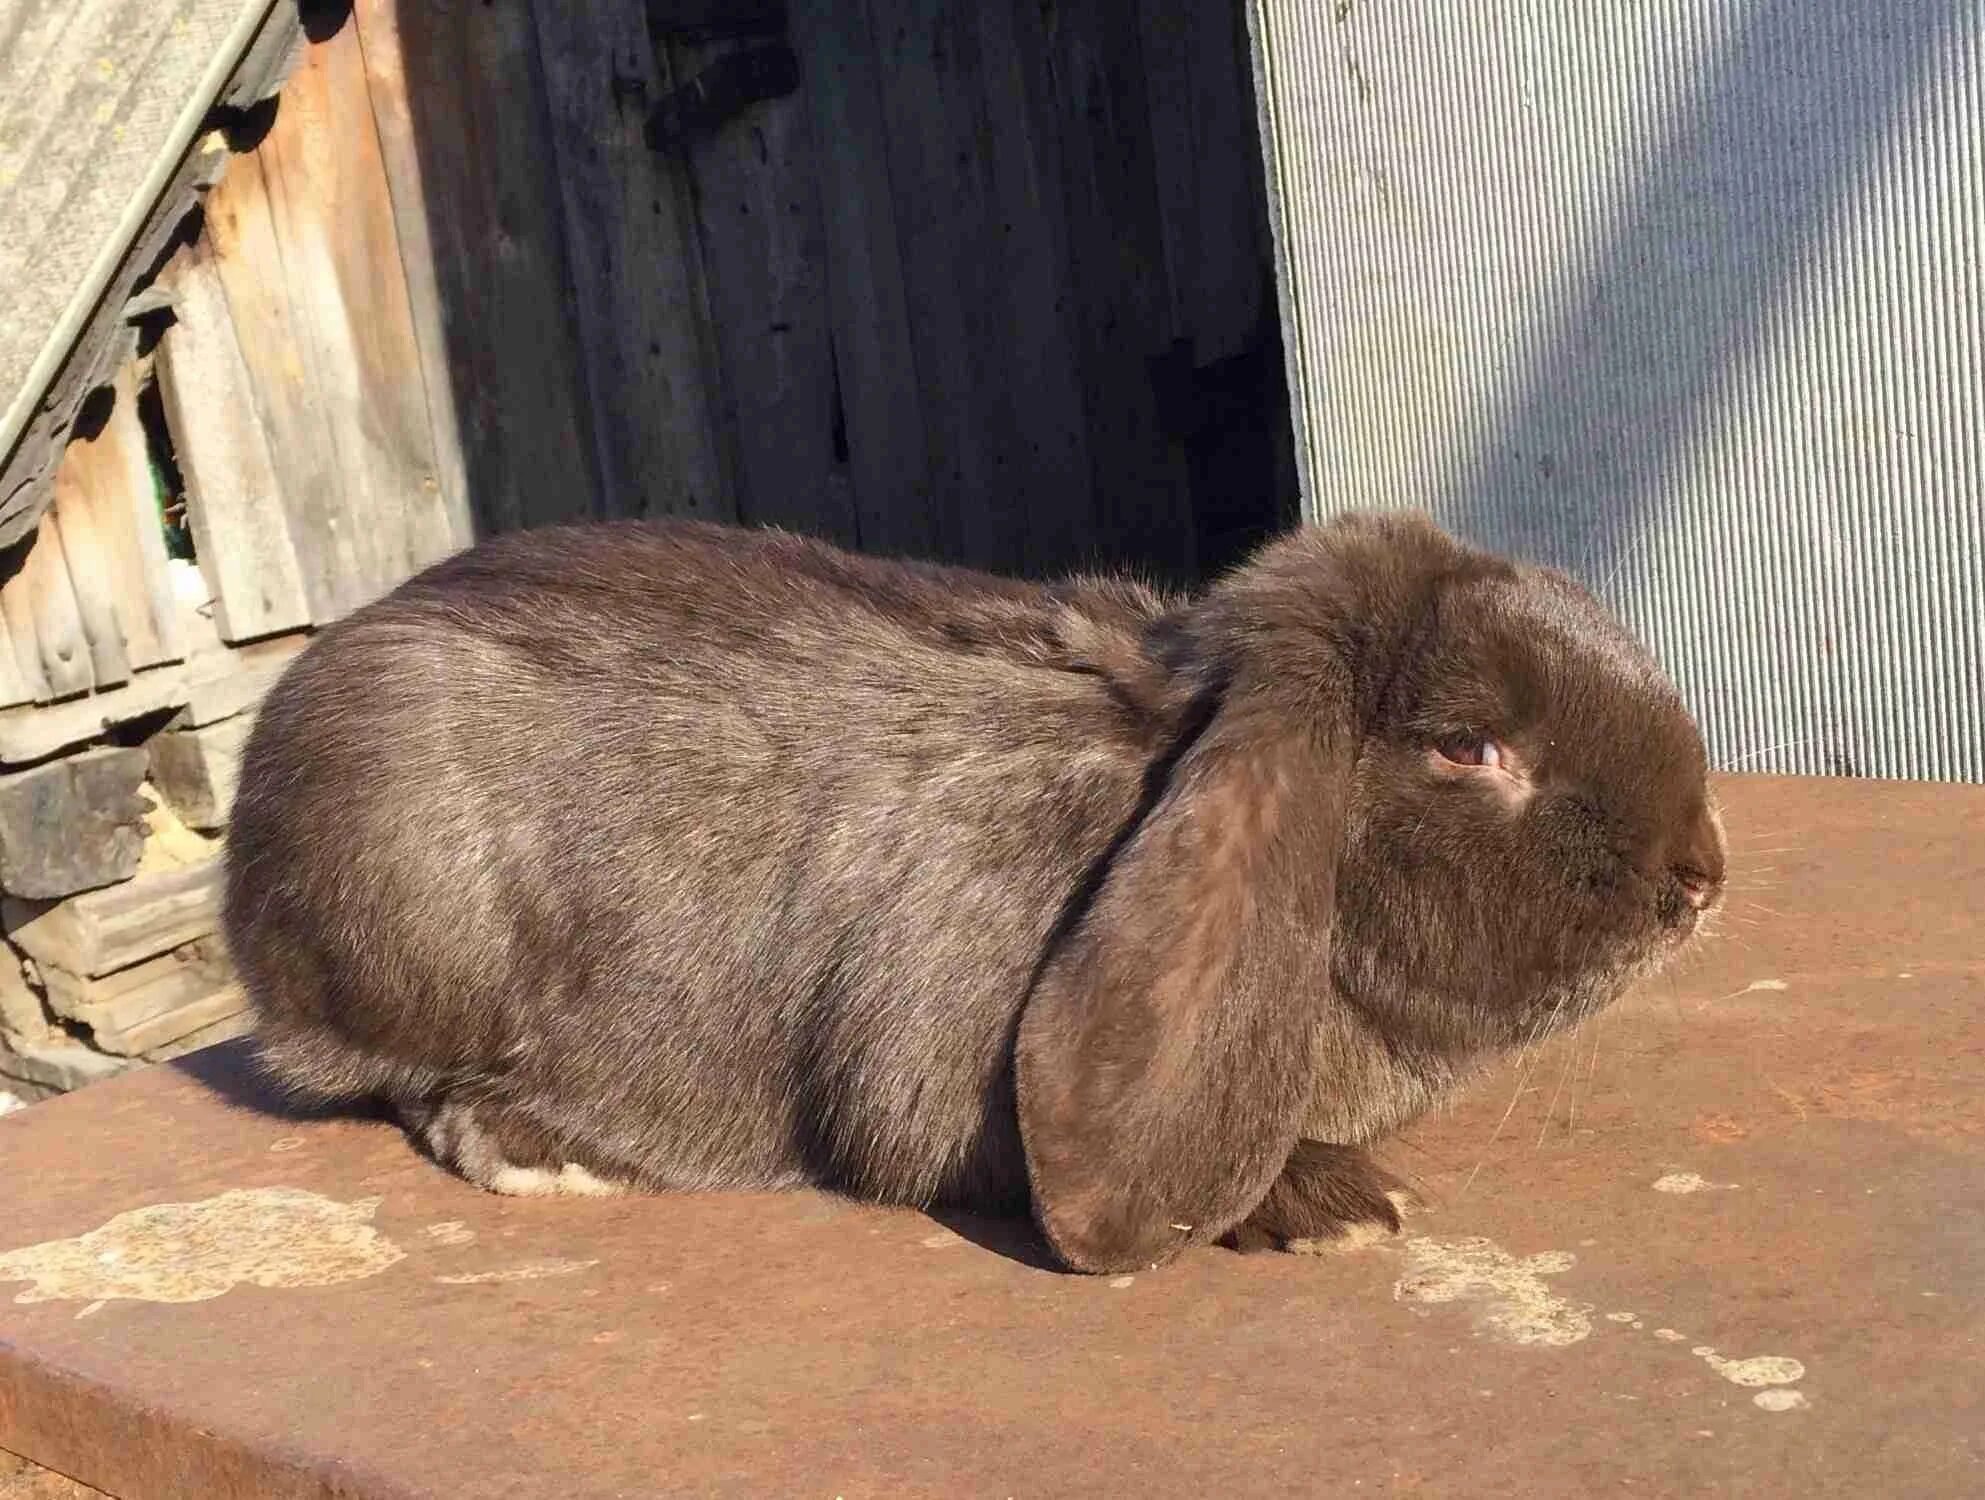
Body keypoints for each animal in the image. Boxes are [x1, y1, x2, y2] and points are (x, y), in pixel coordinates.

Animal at [225, 507, 1730, 1269]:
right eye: (1469, 747)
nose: (1701, 877)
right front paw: (1334, 1206)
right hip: (406, 926)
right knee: (403, 1081)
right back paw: (543, 1150)